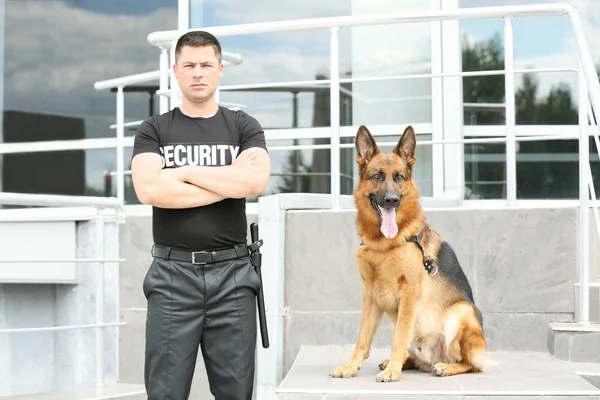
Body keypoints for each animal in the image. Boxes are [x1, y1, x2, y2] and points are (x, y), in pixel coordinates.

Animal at [330, 125, 490, 382]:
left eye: (399, 177)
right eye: (377, 176)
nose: (391, 200)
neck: (382, 245)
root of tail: (432, 358)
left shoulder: (409, 294)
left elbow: (400, 338)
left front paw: (392, 372)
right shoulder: (371, 297)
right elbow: (362, 339)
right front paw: (351, 367)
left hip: (461, 311)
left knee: (471, 363)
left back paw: (445, 367)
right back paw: (401, 362)